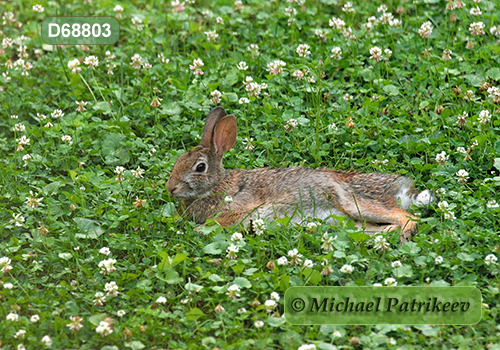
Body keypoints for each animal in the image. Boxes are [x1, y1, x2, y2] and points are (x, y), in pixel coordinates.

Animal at [167, 106, 434, 243]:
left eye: (200, 167)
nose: (170, 188)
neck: (219, 185)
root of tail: (403, 191)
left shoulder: (238, 210)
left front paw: (198, 231)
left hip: (356, 202)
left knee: (407, 217)